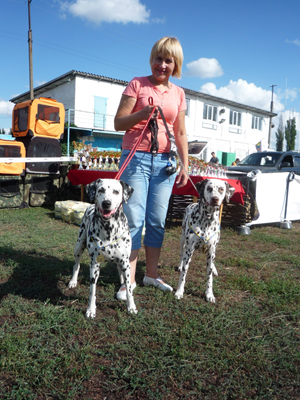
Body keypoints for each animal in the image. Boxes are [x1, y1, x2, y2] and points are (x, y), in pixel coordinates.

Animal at [68, 180, 137, 318]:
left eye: (116, 191)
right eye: (101, 190)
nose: (106, 203)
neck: (109, 229)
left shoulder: (126, 262)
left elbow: (129, 289)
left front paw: (131, 306)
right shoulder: (94, 265)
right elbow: (92, 290)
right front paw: (90, 309)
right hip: (79, 245)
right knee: (76, 265)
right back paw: (73, 281)